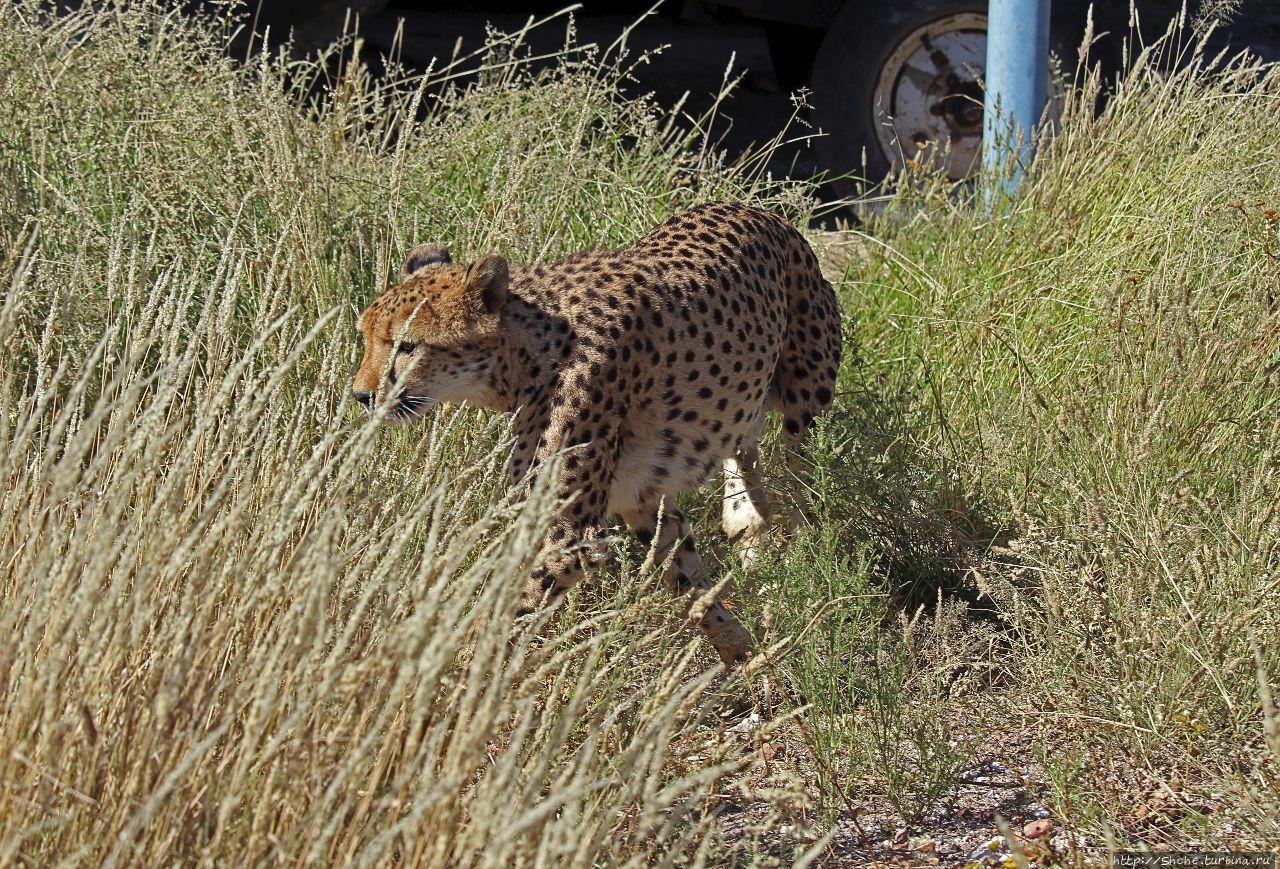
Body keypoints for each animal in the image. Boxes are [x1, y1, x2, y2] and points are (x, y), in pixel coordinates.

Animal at [355, 202, 844, 665]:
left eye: (408, 346)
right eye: (366, 336)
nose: (361, 395)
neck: (529, 350)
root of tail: (761, 210)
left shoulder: (569, 534)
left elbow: (504, 611)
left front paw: (443, 675)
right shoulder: (639, 497)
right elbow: (687, 576)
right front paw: (742, 648)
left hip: (807, 398)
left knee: (803, 476)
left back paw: (793, 543)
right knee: (744, 445)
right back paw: (747, 523)